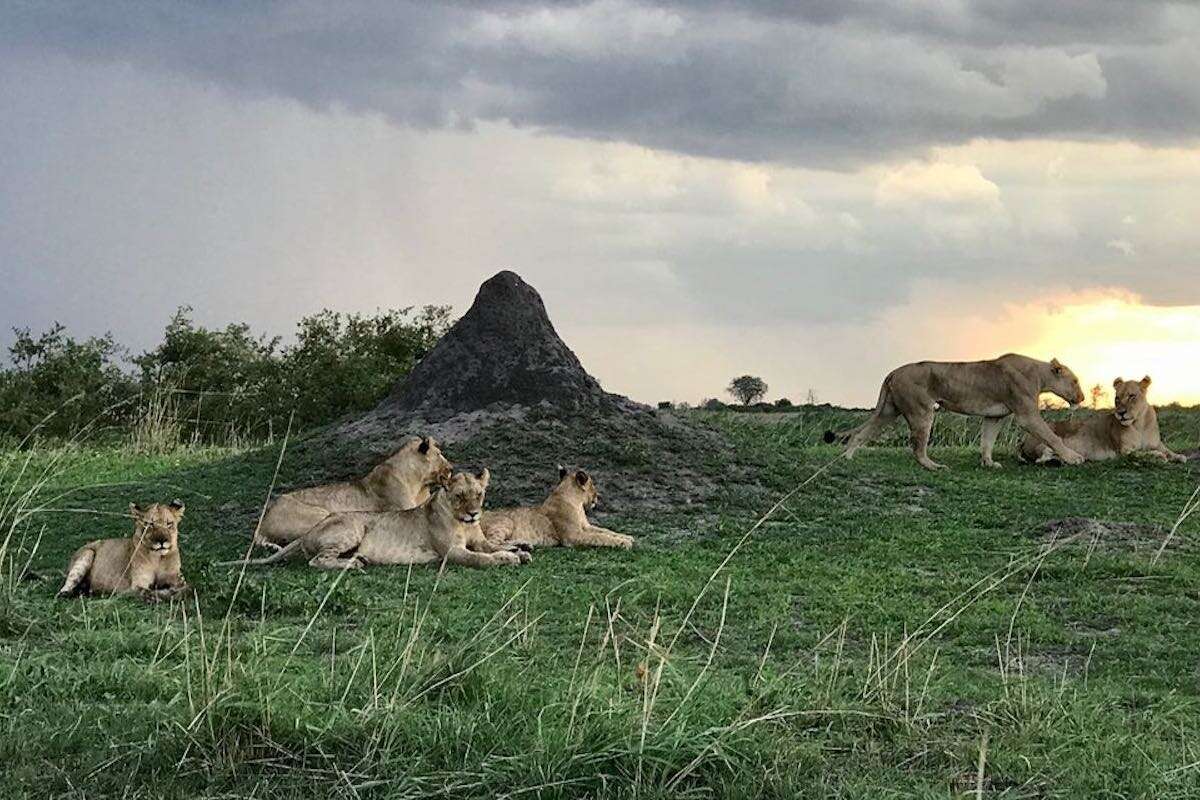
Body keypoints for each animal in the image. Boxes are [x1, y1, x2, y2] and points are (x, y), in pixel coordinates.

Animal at [58, 501, 188, 601]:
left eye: (169, 524)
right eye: (150, 524)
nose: (162, 541)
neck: (158, 558)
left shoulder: (177, 578)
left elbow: (185, 589)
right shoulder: (137, 584)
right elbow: (146, 591)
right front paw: (160, 594)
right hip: (88, 553)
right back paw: (68, 593)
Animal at [224, 469, 531, 571]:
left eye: (479, 494)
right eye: (459, 496)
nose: (474, 513)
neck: (461, 523)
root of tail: (309, 531)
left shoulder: (478, 539)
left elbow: (490, 546)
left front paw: (519, 549)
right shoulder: (450, 552)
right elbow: (479, 558)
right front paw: (506, 558)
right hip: (352, 528)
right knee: (317, 561)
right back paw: (353, 564)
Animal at [481, 466, 634, 550]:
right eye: (593, 485)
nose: (598, 497)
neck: (577, 504)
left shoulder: (586, 527)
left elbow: (605, 531)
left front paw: (627, 537)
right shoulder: (573, 536)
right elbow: (599, 537)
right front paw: (624, 542)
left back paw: (524, 545)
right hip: (505, 521)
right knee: (490, 543)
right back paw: (516, 549)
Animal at [824, 354, 1087, 471]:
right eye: (1075, 381)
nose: (1083, 398)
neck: (1040, 375)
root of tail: (893, 372)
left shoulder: (994, 416)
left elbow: (987, 440)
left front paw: (988, 463)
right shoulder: (1026, 415)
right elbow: (1052, 436)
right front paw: (1074, 457)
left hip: (889, 410)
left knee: (863, 433)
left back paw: (847, 457)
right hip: (921, 410)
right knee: (917, 446)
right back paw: (933, 466)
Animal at [1019, 376, 1187, 465]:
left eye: (1131, 396)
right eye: (1117, 398)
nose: (1121, 413)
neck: (1140, 423)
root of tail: (1024, 440)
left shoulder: (1157, 443)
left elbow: (1168, 451)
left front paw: (1178, 456)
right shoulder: (1124, 451)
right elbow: (1143, 453)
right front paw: (1159, 456)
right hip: (1045, 440)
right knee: (1043, 457)